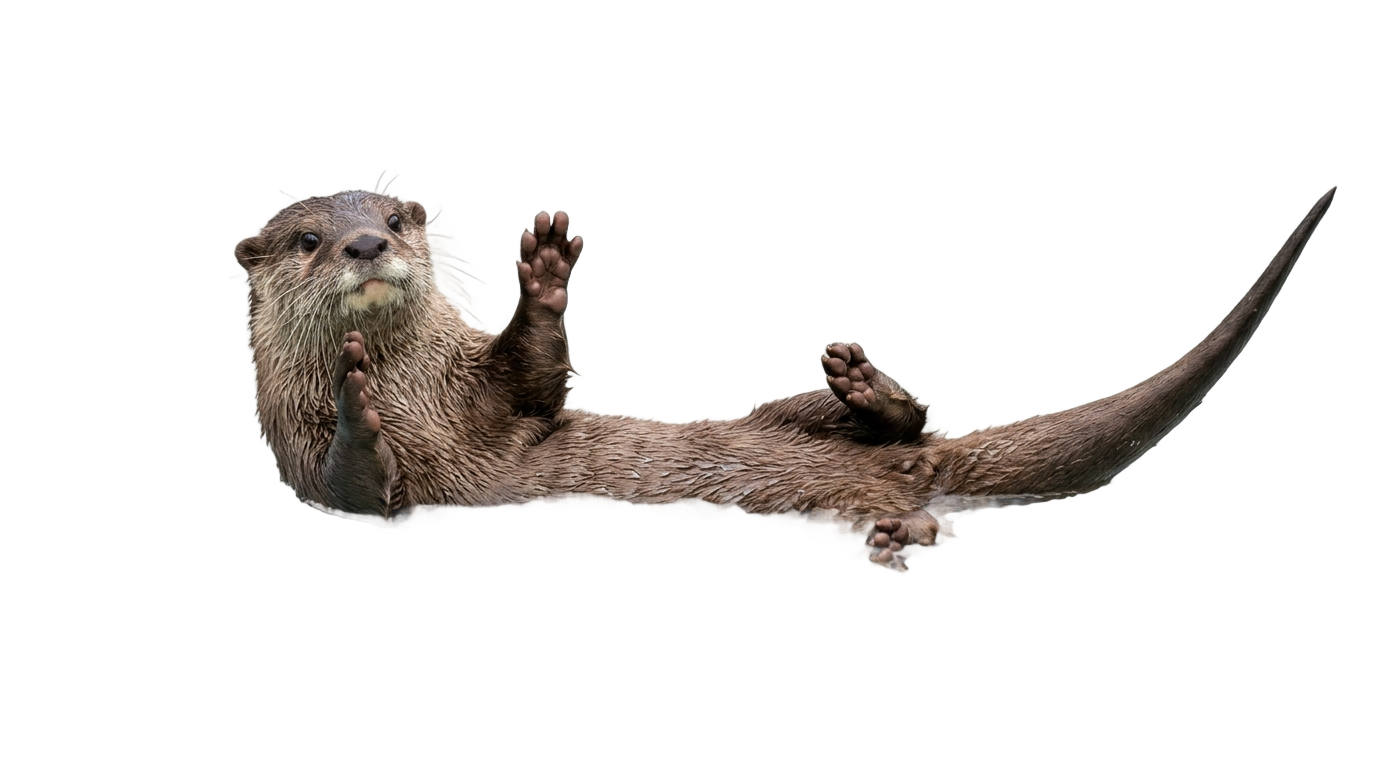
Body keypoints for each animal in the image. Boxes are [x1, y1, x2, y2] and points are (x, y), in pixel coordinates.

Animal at [235, 186, 1337, 567]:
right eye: (306, 238)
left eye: (399, 215)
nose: (366, 243)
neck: (420, 392)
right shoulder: (317, 479)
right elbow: (358, 497)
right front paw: (356, 407)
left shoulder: (493, 398)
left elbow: (538, 383)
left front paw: (544, 272)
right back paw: (904, 535)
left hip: (794, 409)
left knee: (911, 430)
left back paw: (866, 393)